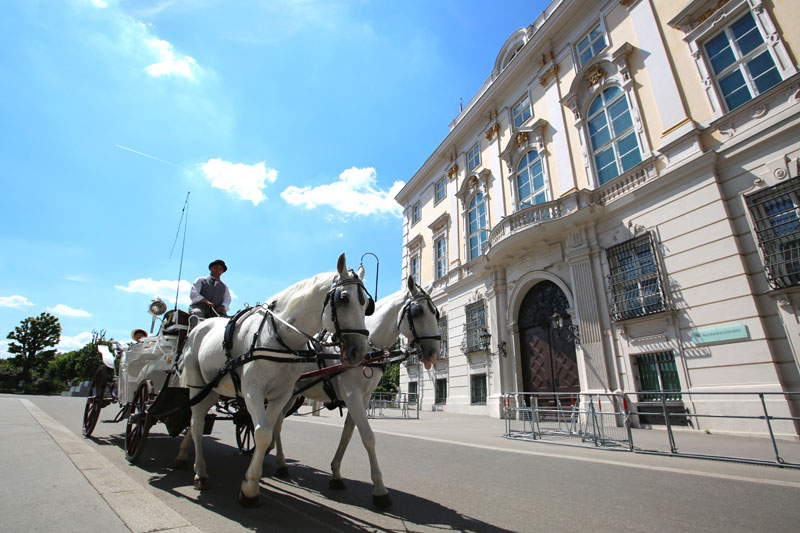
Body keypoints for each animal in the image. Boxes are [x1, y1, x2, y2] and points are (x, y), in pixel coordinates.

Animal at [177, 251, 370, 504]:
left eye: (366, 304)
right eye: (344, 299)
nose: (359, 352)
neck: (278, 336)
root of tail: (200, 325)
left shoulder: (281, 395)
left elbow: (267, 432)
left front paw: (251, 479)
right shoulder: (252, 390)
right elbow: (262, 432)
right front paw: (250, 489)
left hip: (214, 389)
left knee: (196, 420)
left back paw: (184, 453)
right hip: (198, 385)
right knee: (197, 422)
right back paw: (200, 471)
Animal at [272, 276, 440, 504]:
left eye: (436, 313)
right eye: (418, 312)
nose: (434, 352)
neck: (368, 350)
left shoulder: (365, 397)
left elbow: (347, 435)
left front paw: (336, 474)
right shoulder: (352, 395)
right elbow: (368, 437)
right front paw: (380, 490)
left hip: (292, 393)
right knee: (276, 423)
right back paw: (280, 463)